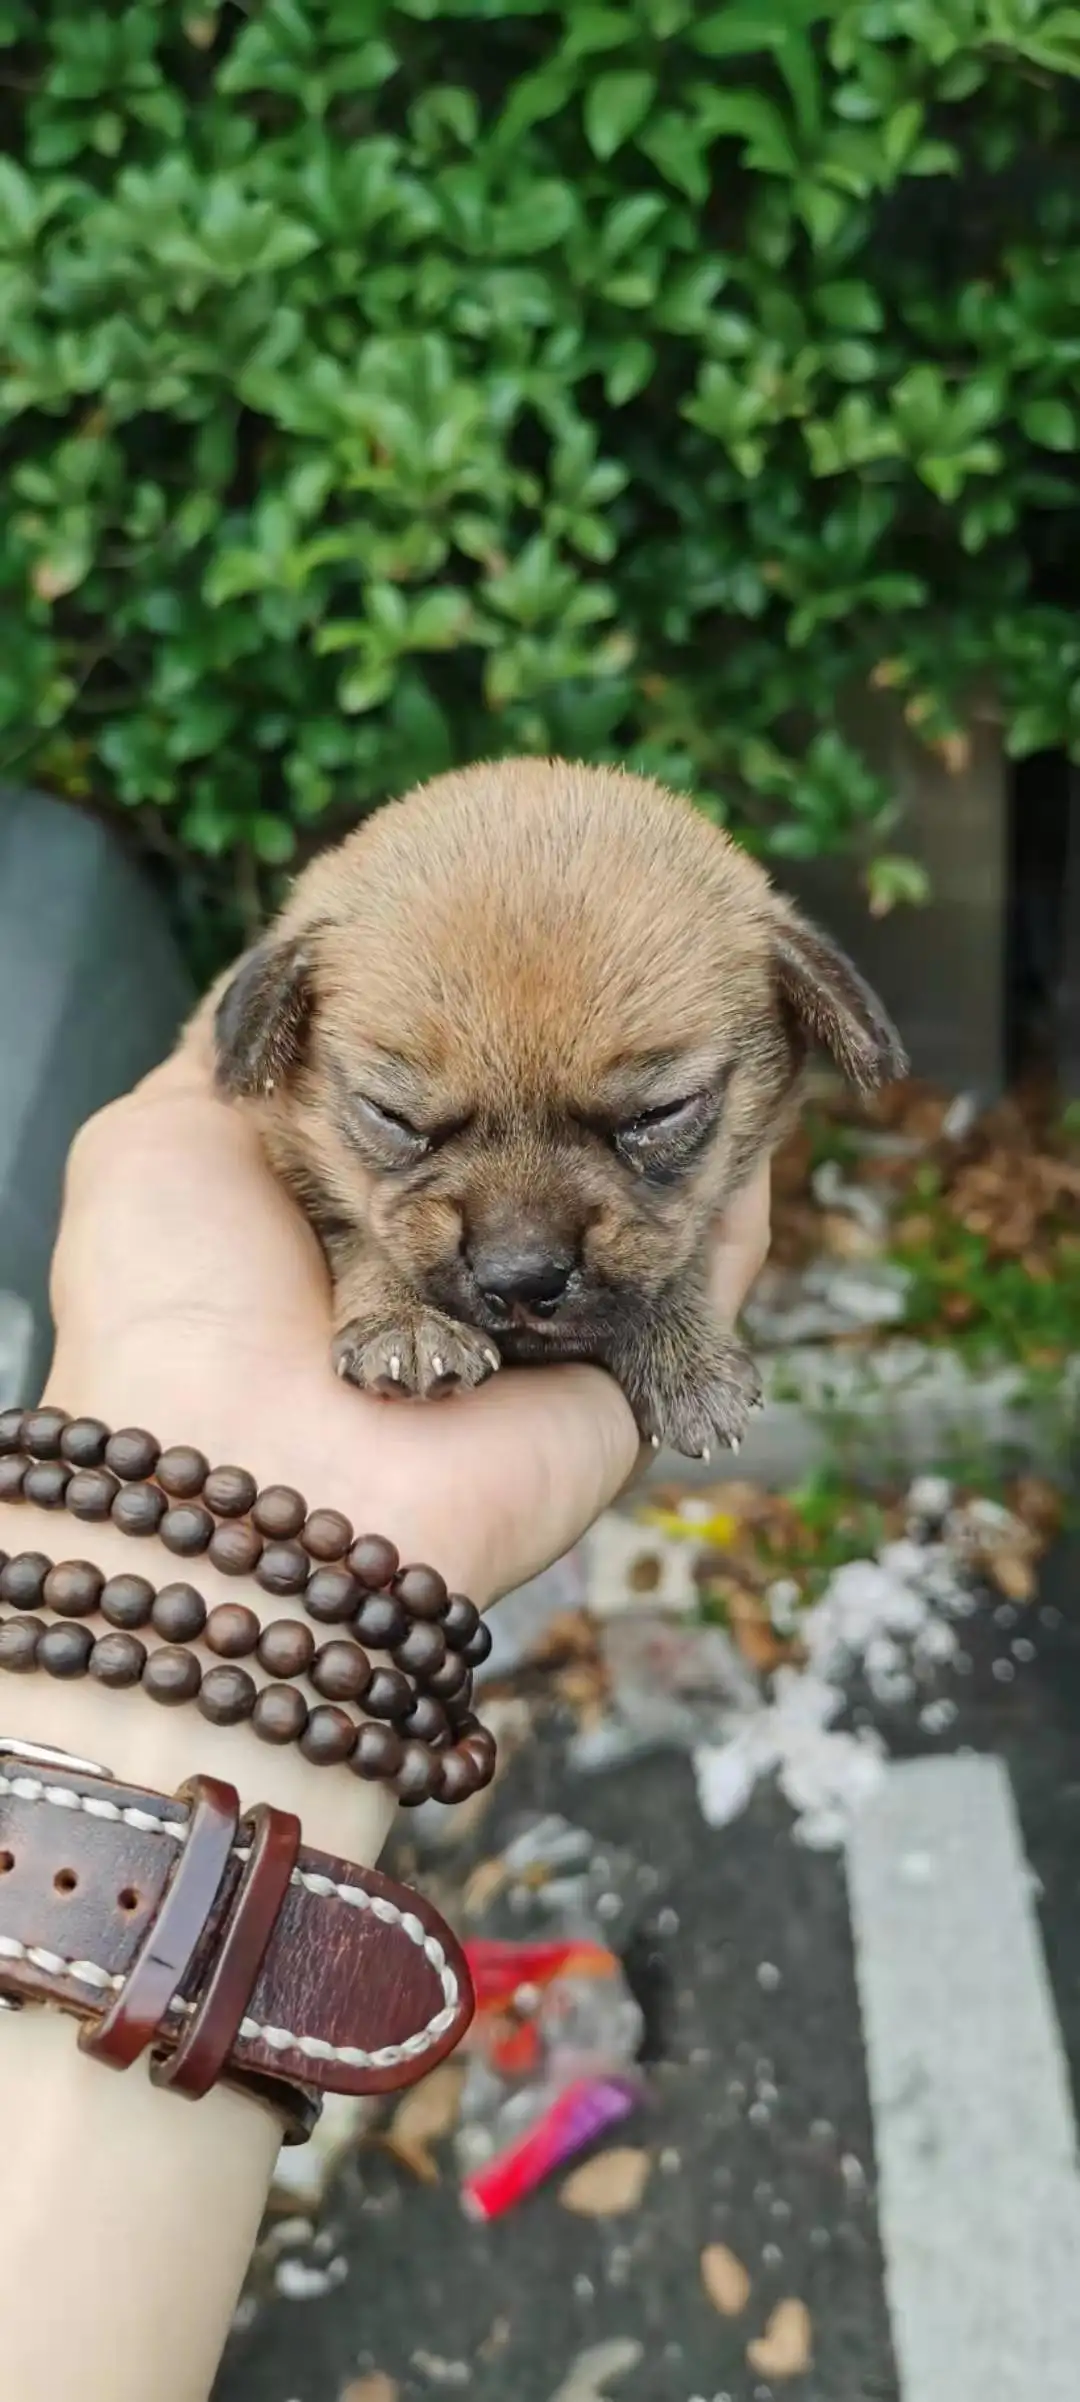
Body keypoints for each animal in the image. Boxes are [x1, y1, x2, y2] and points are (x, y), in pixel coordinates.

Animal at [208, 759, 902, 1450]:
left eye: (658, 1114)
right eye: (392, 1117)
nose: (521, 1278)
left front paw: (679, 1351)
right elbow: (361, 1235)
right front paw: (406, 1325)